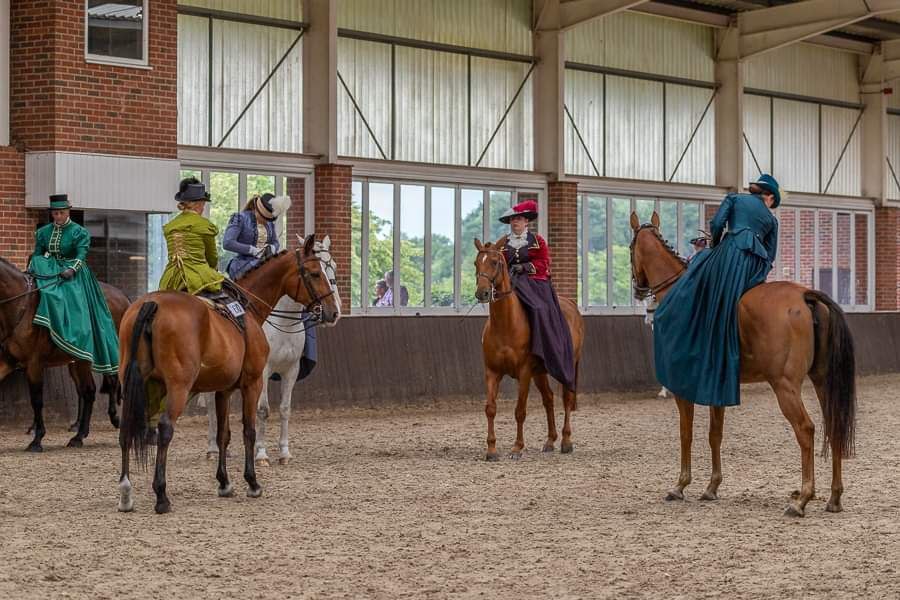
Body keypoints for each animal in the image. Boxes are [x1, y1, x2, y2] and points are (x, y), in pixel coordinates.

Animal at [0, 258, 130, 450]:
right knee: (88, 391)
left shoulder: (34, 364)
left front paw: (37, 439)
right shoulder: (8, 360)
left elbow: (37, 400)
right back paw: (80, 434)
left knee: (108, 385)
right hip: (80, 361)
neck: (20, 305)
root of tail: (123, 297)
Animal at [113, 237, 338, 512]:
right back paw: (162, 495)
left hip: (134, 384)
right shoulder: (253, 382)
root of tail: (151, 304)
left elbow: (224, 434)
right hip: (178, 386)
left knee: (127, 429)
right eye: (315, 273)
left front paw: (224, 483)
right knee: (165, 429)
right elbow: (249, 429)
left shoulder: (224, 389)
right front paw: (252, 482)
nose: (332, 312)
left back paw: (126, 493)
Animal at [472, 237, 584, 462]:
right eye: (476, 263)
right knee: (548, 399)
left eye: (495, 262)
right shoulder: (492, 372)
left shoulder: (524, 372)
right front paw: (491, 450)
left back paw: (566, 441)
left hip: (566, 366)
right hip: (539, 373)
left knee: (567, 399)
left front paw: (517, 448)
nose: (482, 293)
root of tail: (571, 305)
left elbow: (520, 410)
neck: (506, 324)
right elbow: (490, 409)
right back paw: (550, 441)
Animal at [628, 212, 856, 516]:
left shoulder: (683, 387)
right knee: (833, 425)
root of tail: (805, 295)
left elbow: (686, 434)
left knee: (806, 429)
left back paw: (802, 500)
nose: (639, 291)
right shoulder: (716, 387)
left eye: (630, 248)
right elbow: (715, 434)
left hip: (785, 386)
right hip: (821, 379)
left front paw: (680, 485)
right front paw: (711, 487)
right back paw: (834, 498)